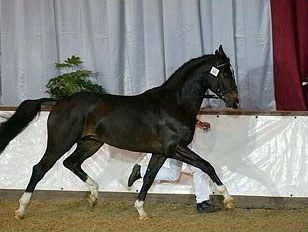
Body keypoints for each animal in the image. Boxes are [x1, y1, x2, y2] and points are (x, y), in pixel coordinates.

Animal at [0, 45, 239, 219]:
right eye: (226, 73)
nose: (236, 102)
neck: (174, 104)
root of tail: (60, 101)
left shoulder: (161, 152)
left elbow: (149, 177)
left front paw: (141, 211)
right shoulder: (175, 148)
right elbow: (206, 165)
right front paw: (228, 199)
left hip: (90, 143)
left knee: (71, 163)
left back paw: (94, 194)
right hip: (60, 143)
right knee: (39, 168)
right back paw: (21, 210)